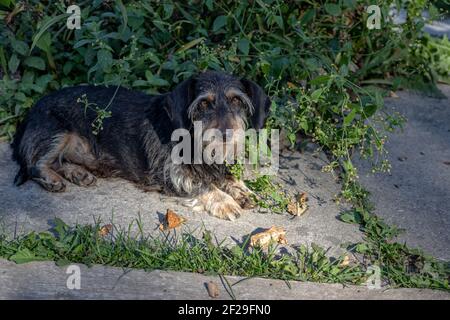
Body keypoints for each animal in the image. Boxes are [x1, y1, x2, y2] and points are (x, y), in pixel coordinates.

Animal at [11, 70, 270, 220]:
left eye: (236, 100)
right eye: (204, 103)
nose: (227, 135)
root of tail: (31, 110)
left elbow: (228, 176)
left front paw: (242, 190)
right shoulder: (172, 174)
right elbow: (205, 185)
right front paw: (225, 202)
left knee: (59, 161)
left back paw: (78, 174)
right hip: (57, 133)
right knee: (36, 164)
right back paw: (52, 179)